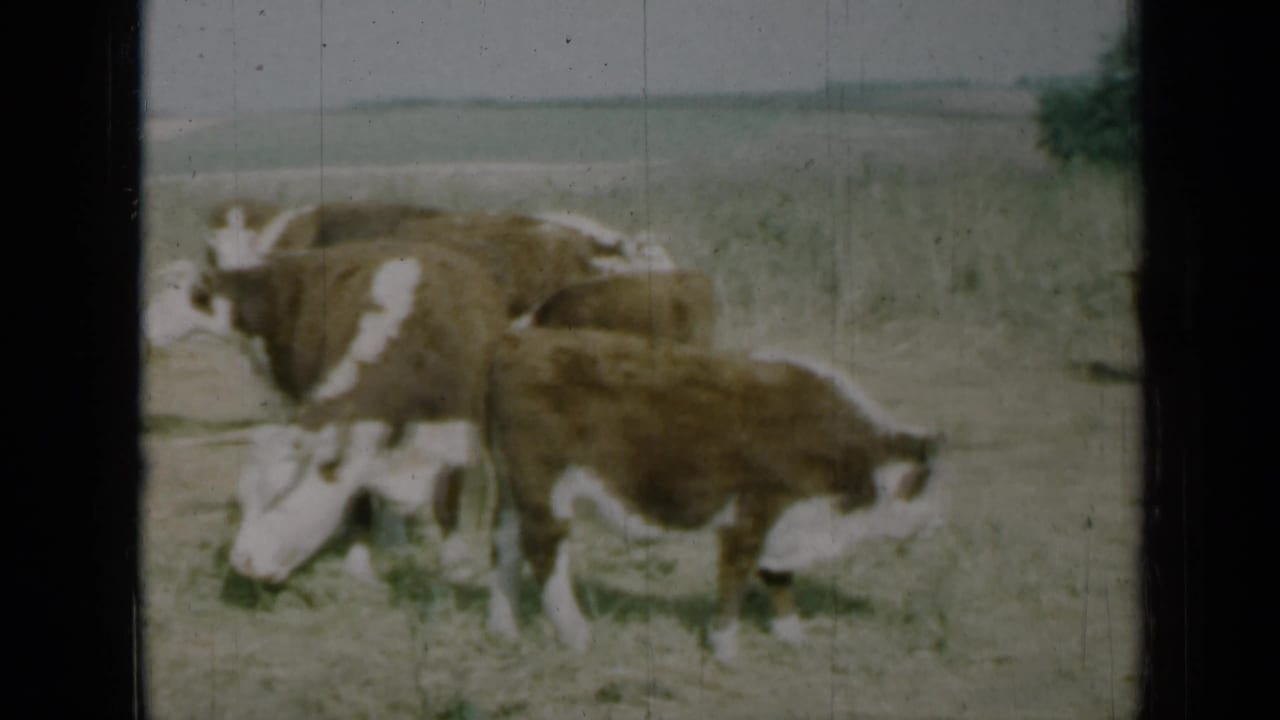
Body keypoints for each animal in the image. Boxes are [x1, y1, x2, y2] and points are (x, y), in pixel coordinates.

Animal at [482, 329, 948, 663]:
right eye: (929, 487)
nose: (938, 524)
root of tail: (515, 343)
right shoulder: (752, 512)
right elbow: (738, 574)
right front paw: (725, 645)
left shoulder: (784, 523)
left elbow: (778, 575)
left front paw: (790, 632)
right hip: (544, 485)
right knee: (543, 549)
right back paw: (574, 633)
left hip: (512, 487)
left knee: (504, 546)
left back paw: (504, 627)